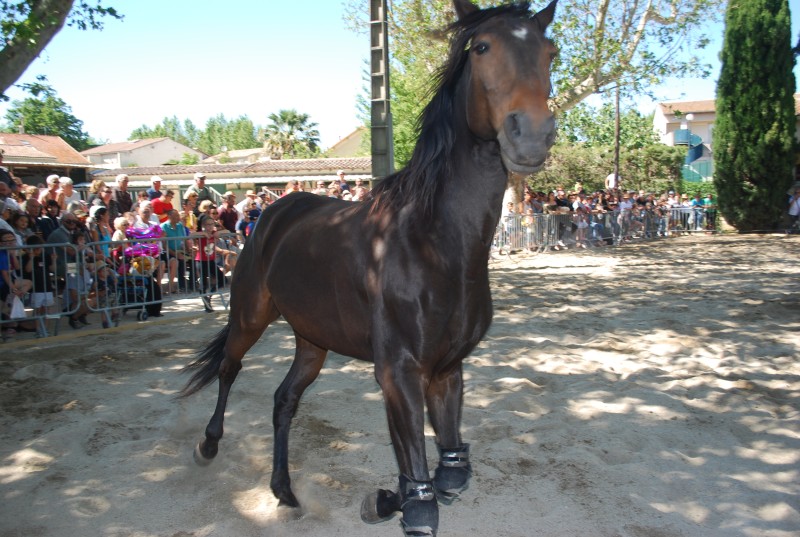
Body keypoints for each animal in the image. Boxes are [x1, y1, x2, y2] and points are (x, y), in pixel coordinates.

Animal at [180, 2, 556, 532]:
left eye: (550, 52)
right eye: (482, 46)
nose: (533, 136)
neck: (435, 244)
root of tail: (278, 208)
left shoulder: (447, 371)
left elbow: (449, 475)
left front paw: (385, 498)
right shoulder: (398, 374)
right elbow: (423, 500)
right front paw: (393, 498)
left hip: (312, 340)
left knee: (284, 401)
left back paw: (283, 488)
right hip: (250, 316)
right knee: (229, 368)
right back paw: (209, 444)